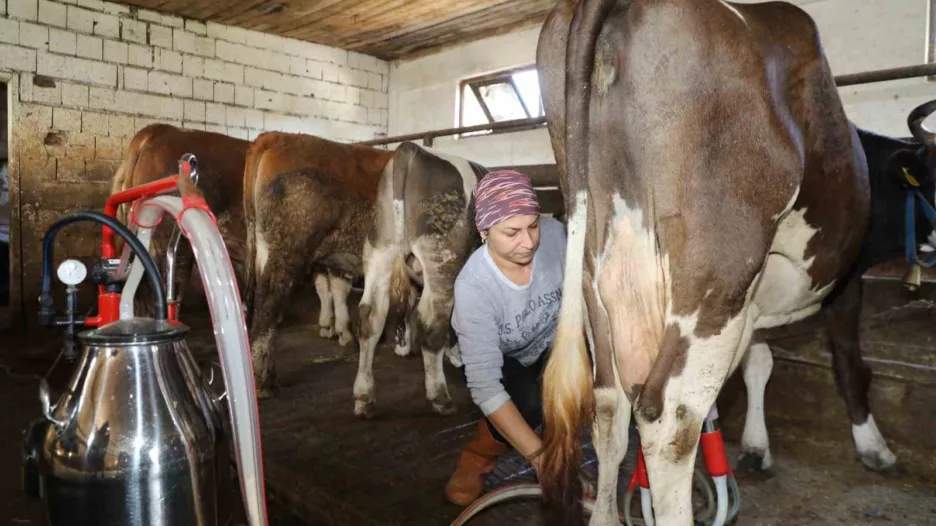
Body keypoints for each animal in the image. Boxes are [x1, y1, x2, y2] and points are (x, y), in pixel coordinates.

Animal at [352, 141, 490, 420]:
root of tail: (411, 147)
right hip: (442, 256)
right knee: (431, 319)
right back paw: (440, 397)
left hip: (379, 247)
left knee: (370, 316)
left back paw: (364, 397)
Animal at [532, 2, 932, 524]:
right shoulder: (843, 278)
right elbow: (847, 360)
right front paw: (873, 447)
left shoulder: (754, 300)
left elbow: (759, 360)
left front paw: (757, 447)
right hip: (715, 280)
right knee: (670, 422)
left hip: (598, 278)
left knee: (608, 408)